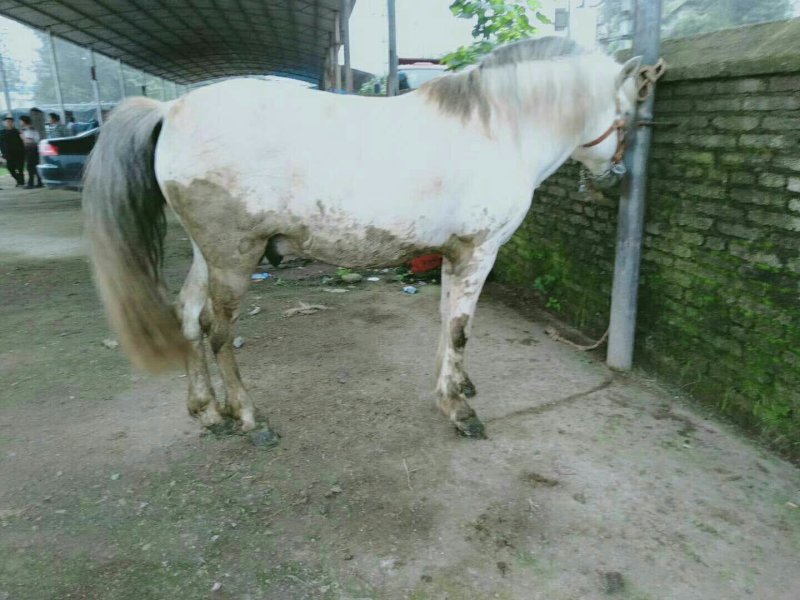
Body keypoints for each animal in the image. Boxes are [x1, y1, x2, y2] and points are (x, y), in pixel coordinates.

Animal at [83, 37, 640, 440]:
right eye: (627, 116)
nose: (619, 176)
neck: (497, 128)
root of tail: (170, 110)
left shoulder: (453, 254)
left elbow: (446, 322)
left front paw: (453, 389)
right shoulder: (479, 251)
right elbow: (461, 329)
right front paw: (459, 410)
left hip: (211, 255)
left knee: (187, 316)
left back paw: (208, 411)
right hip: (234, 258)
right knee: (217, 331)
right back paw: (247, 417)